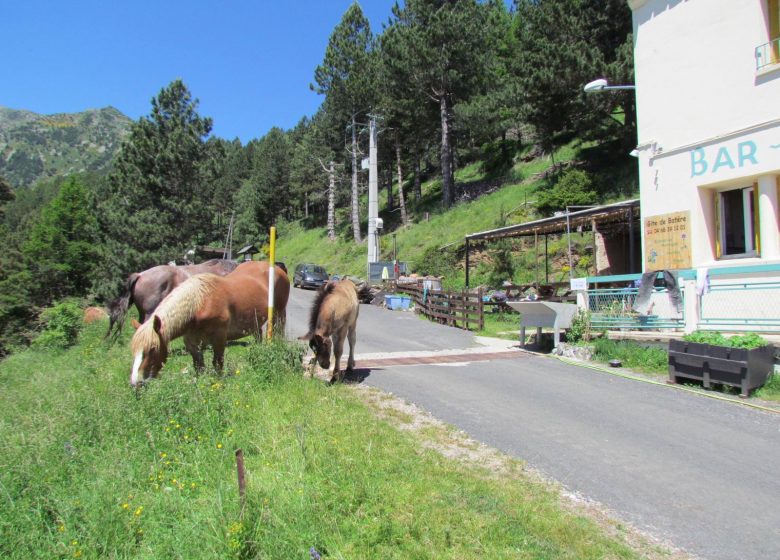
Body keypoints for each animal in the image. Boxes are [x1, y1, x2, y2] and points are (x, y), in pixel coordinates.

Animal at [131, 262, 290, 384]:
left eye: (152, 349)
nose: (135, 383)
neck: (199, 303)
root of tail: (277, 268)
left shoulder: (219, 338)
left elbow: (217, 363)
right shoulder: (191, 343)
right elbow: (199, 366)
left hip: (279, 313)